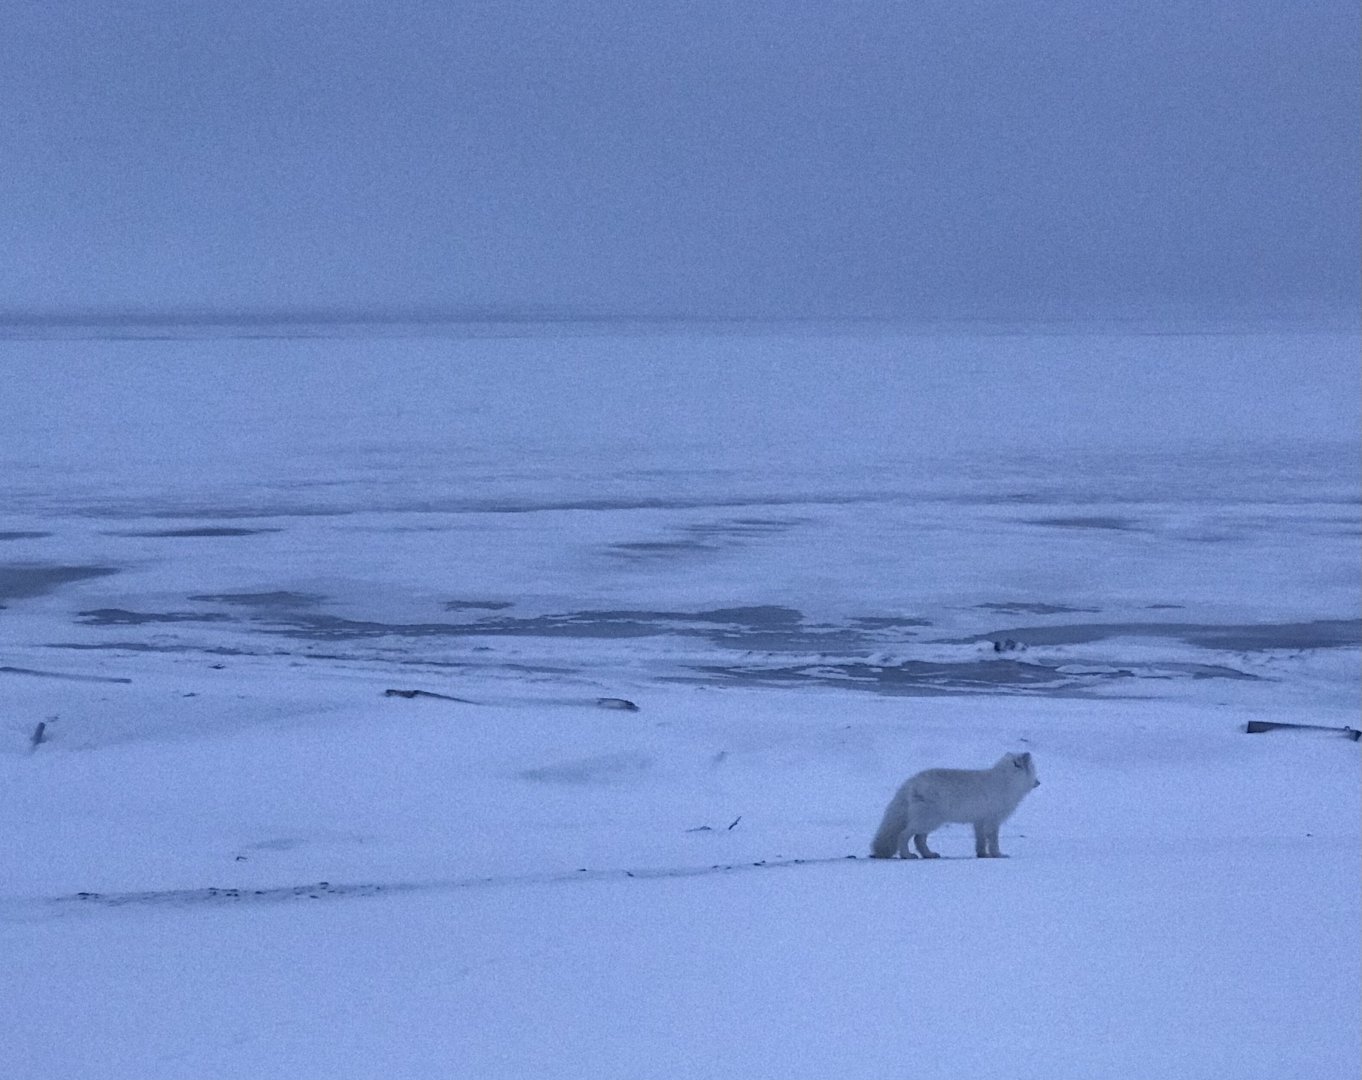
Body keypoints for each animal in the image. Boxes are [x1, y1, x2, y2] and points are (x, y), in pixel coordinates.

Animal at [870, 752, 1040, 859]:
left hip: (929, 821)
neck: (1007, 782)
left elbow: (980, 841)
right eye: (1033, 770)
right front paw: (998, 854)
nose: (1038, 782)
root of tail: (911, 782)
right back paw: (907, 855)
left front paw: (982, 855)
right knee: (905, 835)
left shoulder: (979, 821)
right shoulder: (993, 820)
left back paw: (929, 855)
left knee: (919, 839)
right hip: (929, 820)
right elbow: (993, 840)